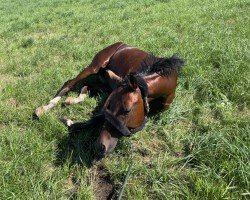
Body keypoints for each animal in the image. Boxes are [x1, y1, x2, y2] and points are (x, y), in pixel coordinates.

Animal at [34, 41, 184, 155]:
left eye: (127, 110)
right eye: (109, 105)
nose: (100, 147)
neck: (166, 79)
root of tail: (120, 43)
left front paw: (69, 121)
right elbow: (97, 118)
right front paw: (69, 121)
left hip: (107, 83)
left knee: (87, 87)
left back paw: (71, 100)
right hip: (95, 67)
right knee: (70, 83)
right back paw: (45, 108)